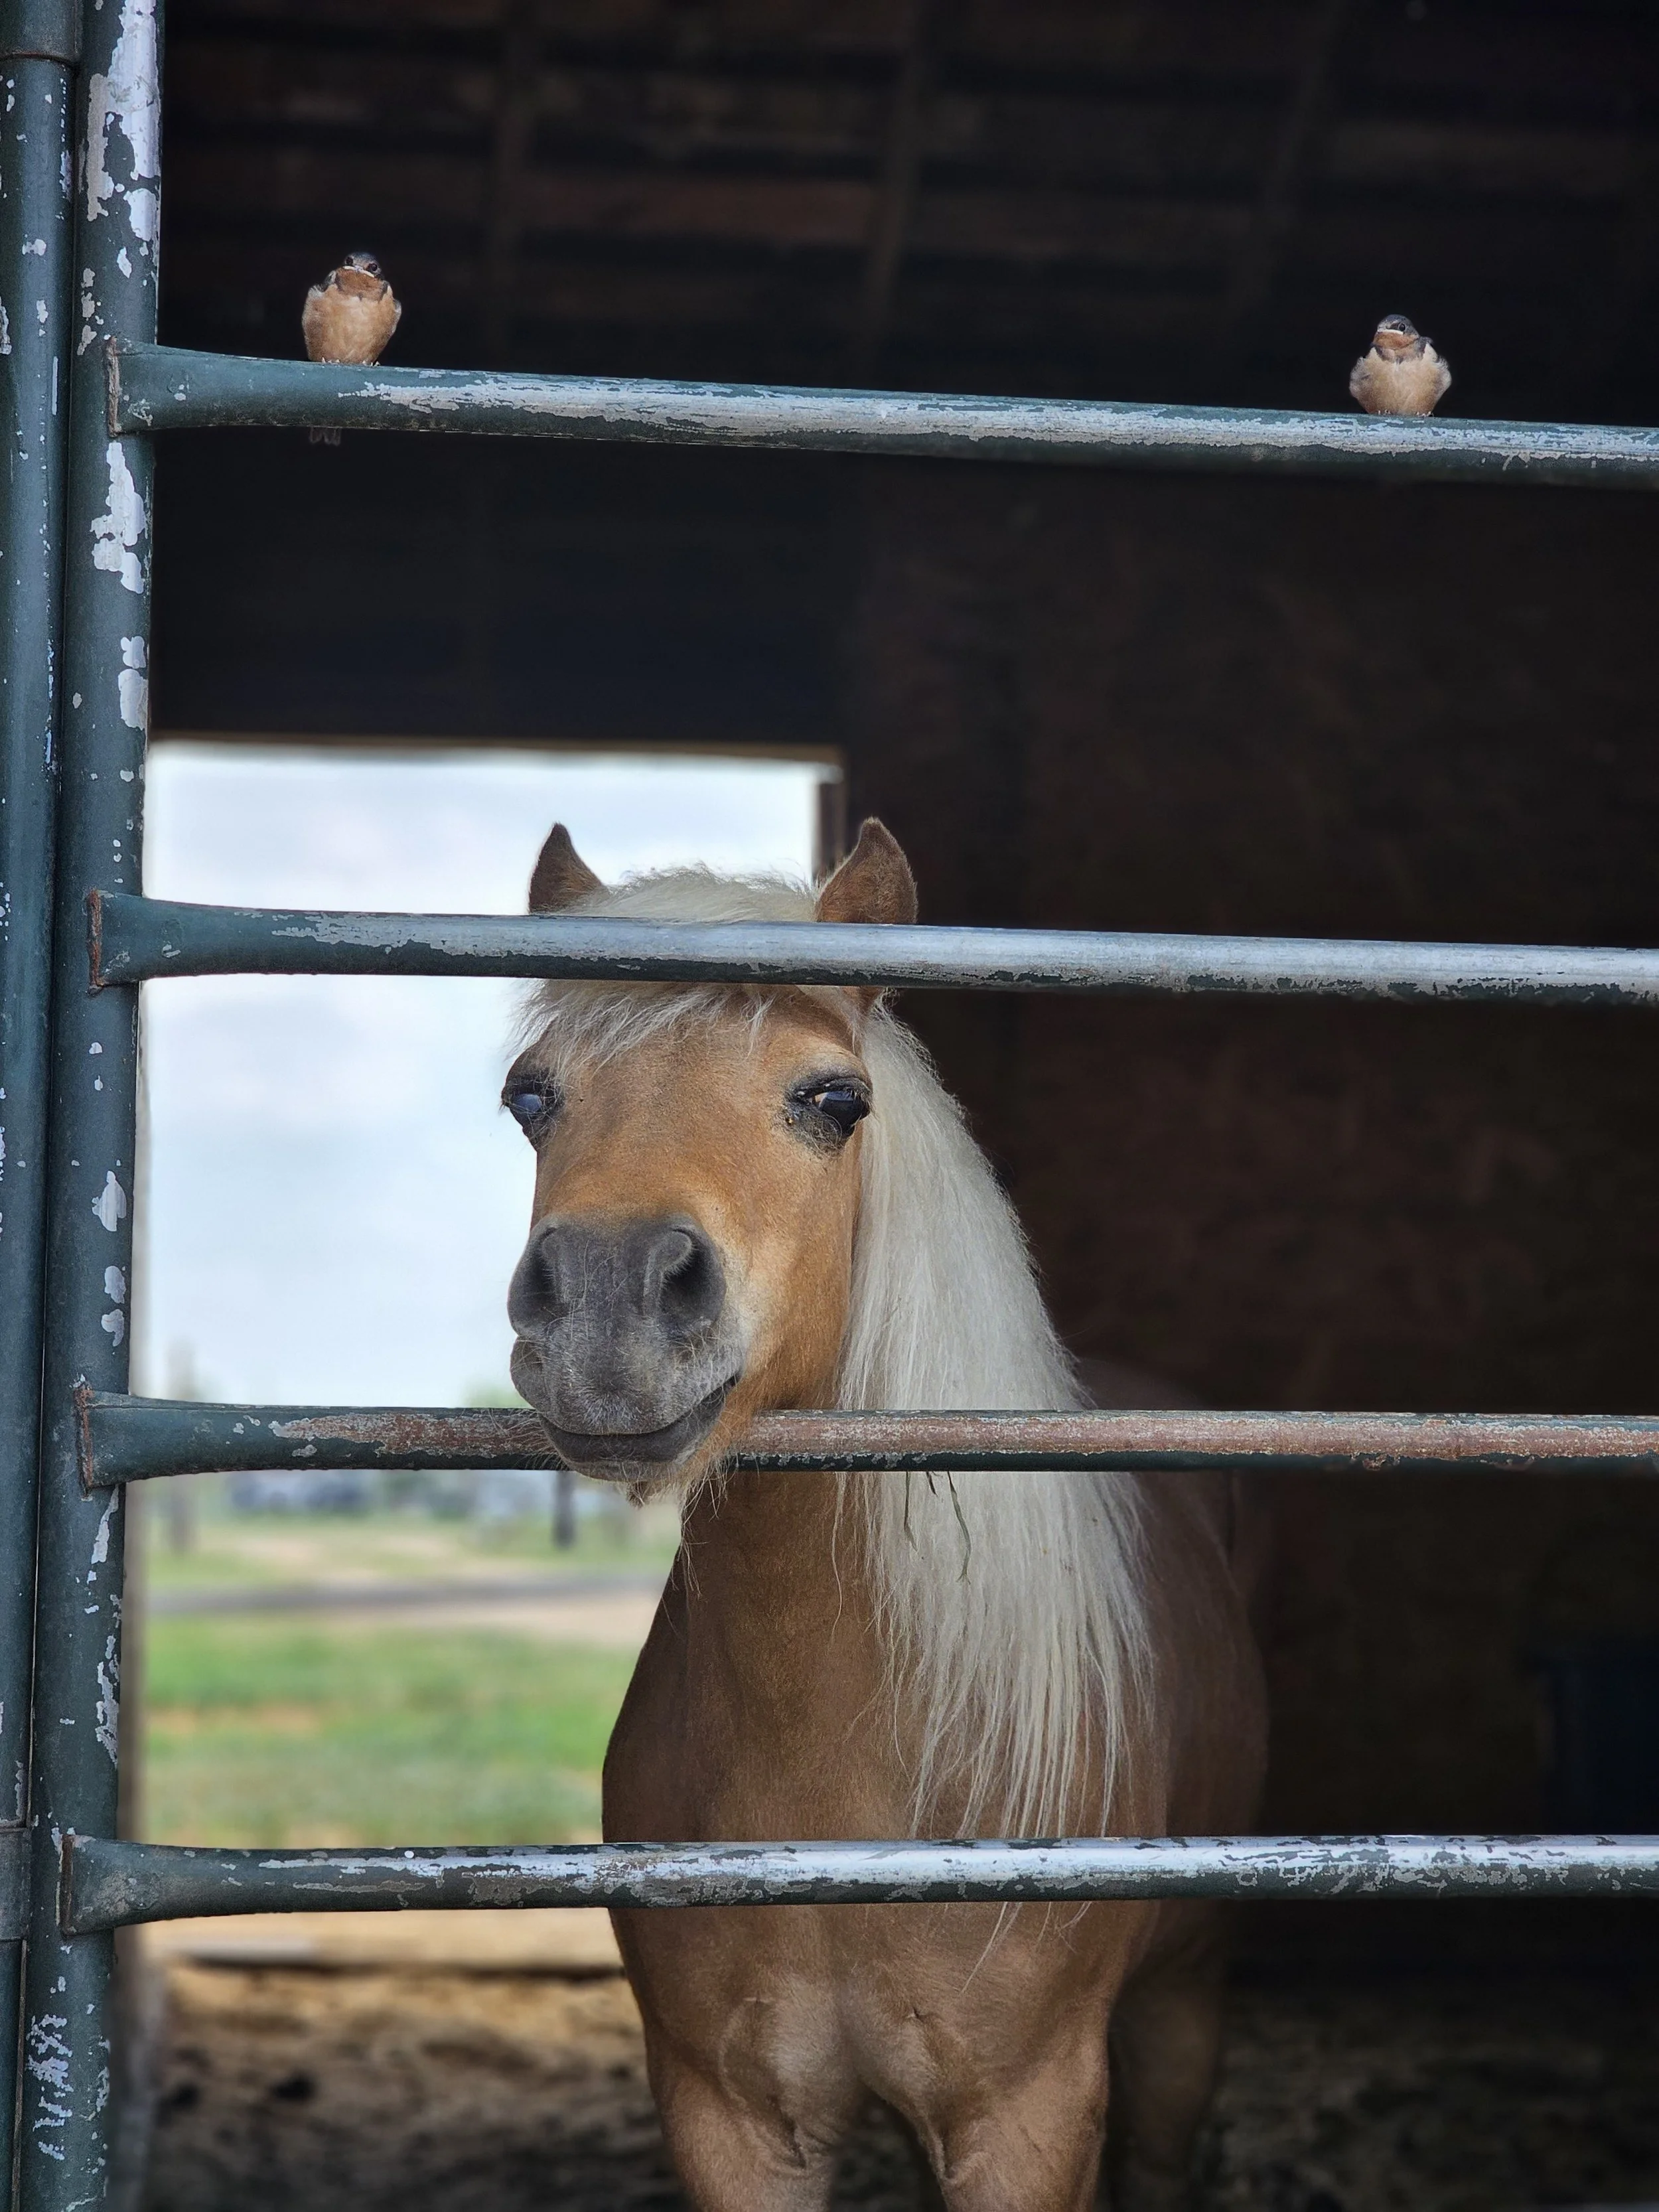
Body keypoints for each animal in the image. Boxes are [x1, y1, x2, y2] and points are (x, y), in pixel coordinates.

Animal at [502, 816, 1266, 2212]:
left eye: (833, 1101)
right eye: (532, 1097)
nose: (607, 1306)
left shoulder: (1027, 2122)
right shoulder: (733, 2121)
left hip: (1183, 2001)